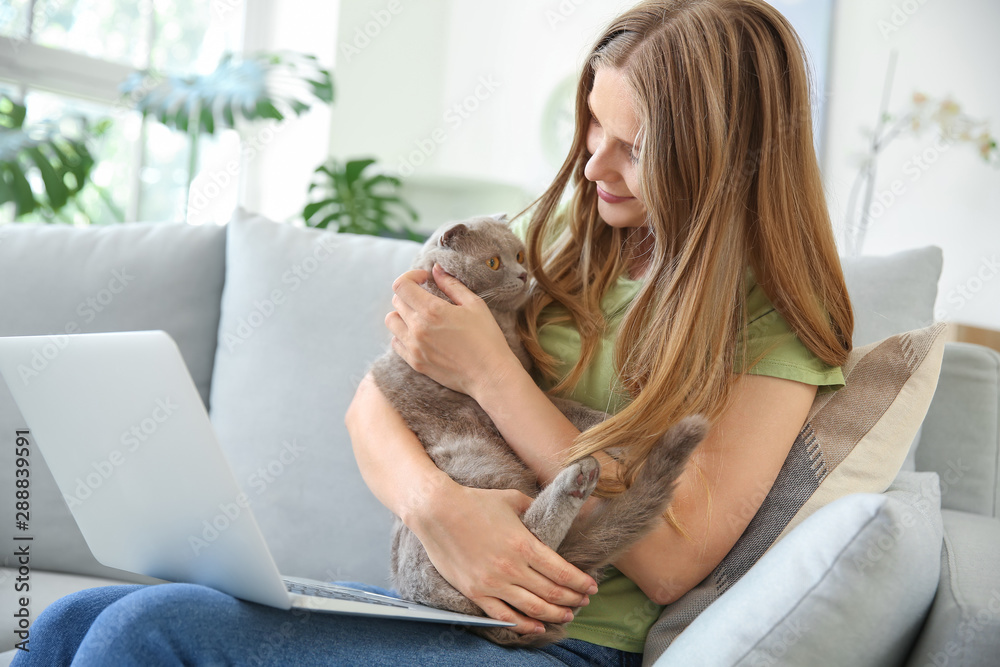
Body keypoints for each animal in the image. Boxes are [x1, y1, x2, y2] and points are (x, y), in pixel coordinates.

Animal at [372, 214, 708, 648]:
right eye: (493, 262)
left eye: (518, 255)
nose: (523, 273)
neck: (501, 326)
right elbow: (567, 409)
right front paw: (619, 438)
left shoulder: (525, 382)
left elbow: (569, 410)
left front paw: (617, 435)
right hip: (477, 463)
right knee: (526, 546)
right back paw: (578, 478)